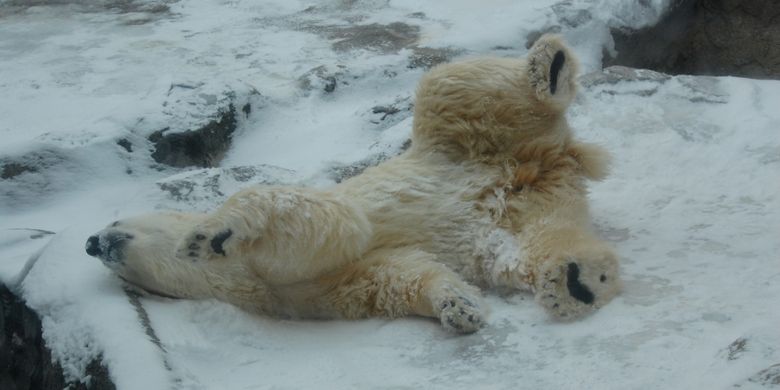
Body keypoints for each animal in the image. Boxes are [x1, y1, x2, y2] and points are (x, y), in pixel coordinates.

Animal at [87, 35, 620, 332]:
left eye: (113, 221)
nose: (92, 242)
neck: (244, 284)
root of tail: (553, 159)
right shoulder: (306, 294)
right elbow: (392, 277)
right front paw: (459, 307)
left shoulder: (295, 252)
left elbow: (326, 221)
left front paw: (214, 233)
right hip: (526, 204)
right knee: (529, 246)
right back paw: (579, 281)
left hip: (459, 138)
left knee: (459, 84)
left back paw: (548, 63)